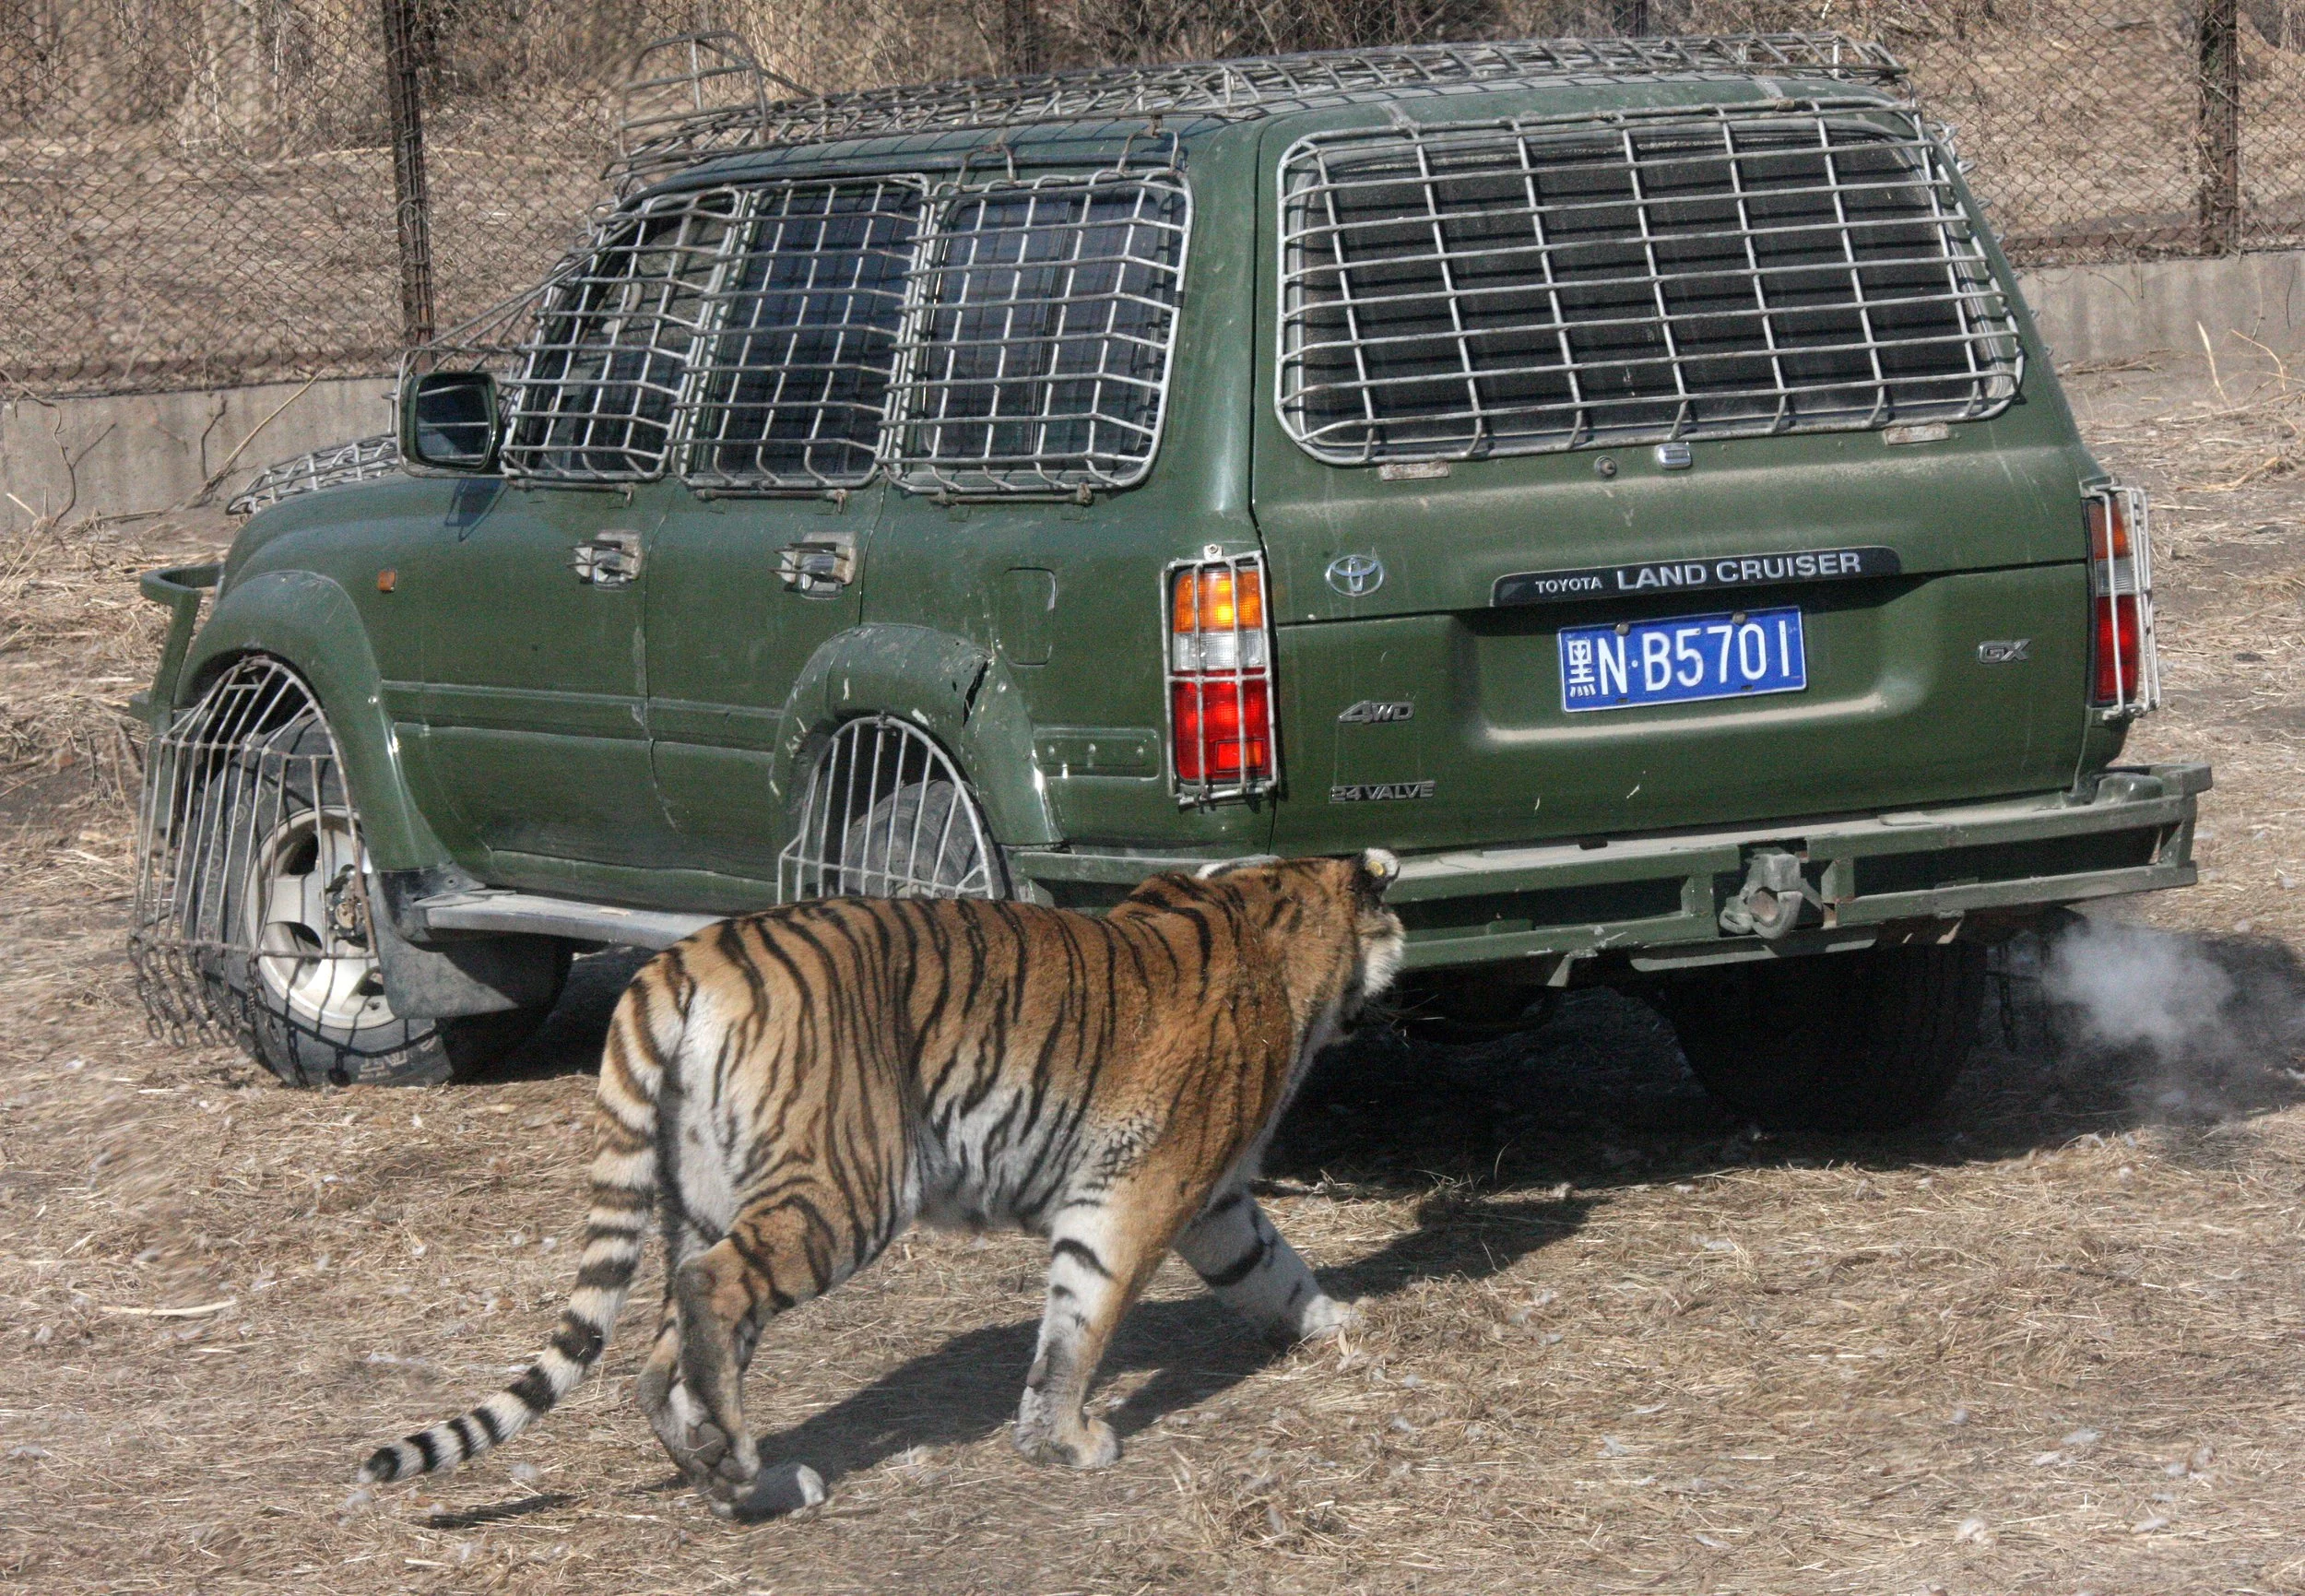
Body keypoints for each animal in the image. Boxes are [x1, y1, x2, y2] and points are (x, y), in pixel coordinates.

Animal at [357, 849, 1405, 1519]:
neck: (1269, 903)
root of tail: (684, 953)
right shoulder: (1140, 1190)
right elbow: (1082, 1321)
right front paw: (1066, 1442)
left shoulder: (1213, 1197)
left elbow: (1272, 1264)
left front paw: (1336, 1321)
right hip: (848, 1185)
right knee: (709, 1292)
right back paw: (744, 1462)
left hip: (703, 1191)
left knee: (665, 1351)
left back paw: (745, 1484)